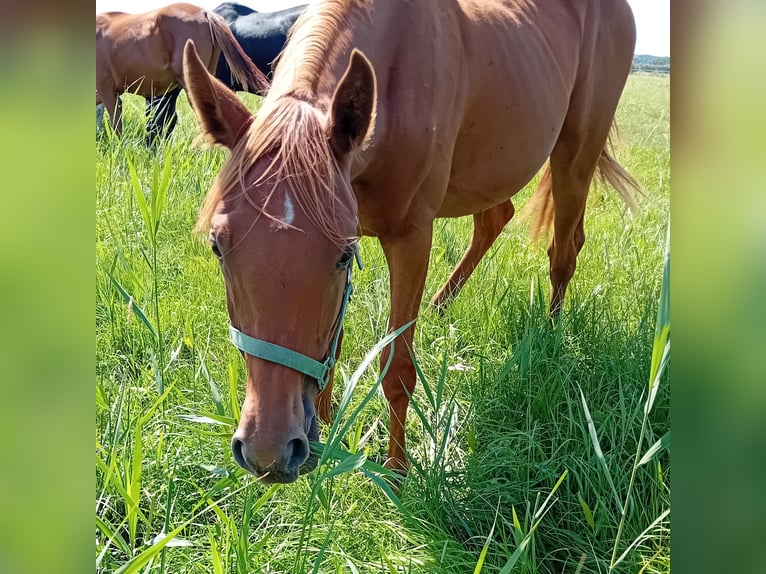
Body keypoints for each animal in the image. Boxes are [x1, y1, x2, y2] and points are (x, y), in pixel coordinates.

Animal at [182, 0, 640, 484]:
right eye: (217, 246)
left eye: (342, 254)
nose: (268, 452)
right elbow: (334, 344)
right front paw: (326, 423)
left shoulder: (411, 238)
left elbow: (397, 367)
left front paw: (397, 470)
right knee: (496, 219)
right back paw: (443, 303)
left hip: (576, 153)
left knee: (564, 251)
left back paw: (550, 336)